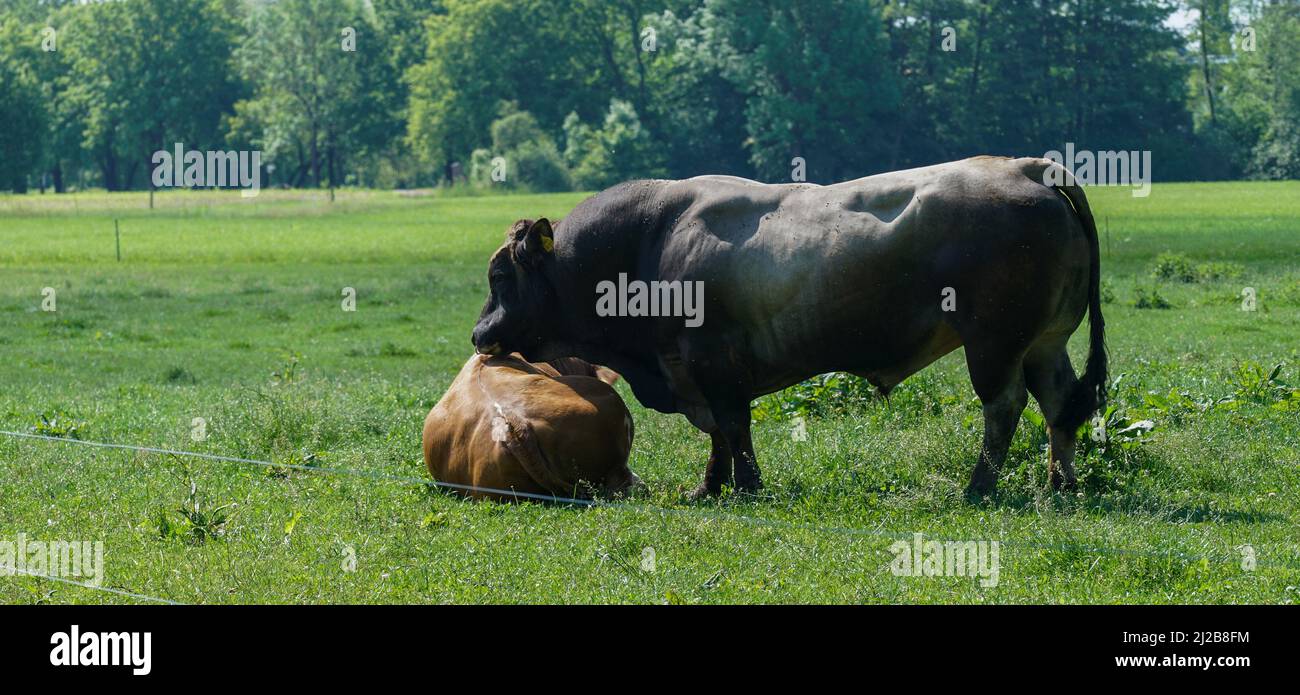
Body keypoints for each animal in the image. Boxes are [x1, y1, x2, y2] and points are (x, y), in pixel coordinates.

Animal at [470, 156, 1107, 500]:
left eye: (499, 275)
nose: (479, 335)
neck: (650, 241)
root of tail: (1027, 168)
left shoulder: (712, 362)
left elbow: (732, 427)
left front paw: (747, 486)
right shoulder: (692, 371)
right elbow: (718, 435)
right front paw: (710, 486)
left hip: (994, 344)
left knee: (1005, 406)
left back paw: (979, 486)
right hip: (1045, 342)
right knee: (1061, 405)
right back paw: (1061, 484)